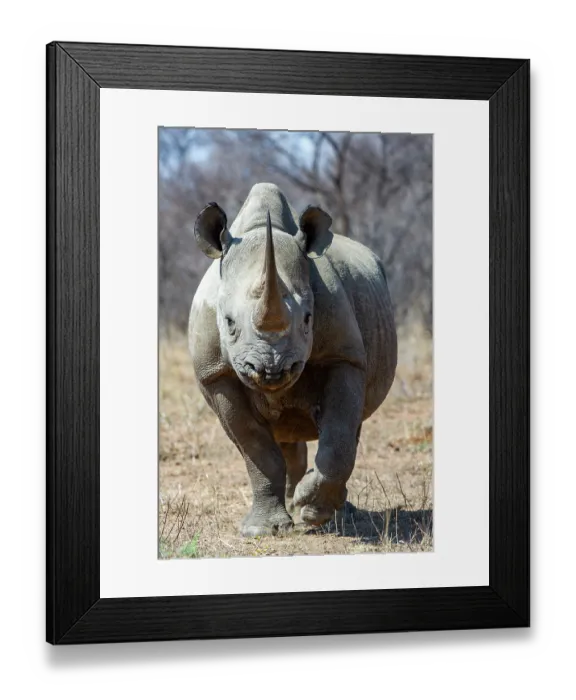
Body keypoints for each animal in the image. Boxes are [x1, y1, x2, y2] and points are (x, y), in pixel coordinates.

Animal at [188, 183, 397, 536]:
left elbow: (339, 436)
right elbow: (255, 447)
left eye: (308, 319)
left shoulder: (343, 356)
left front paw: (312, 511)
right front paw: (262, 530)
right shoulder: (215, 374)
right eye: (228, 323)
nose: (272, 369)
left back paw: (335, 513)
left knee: (346, 428)